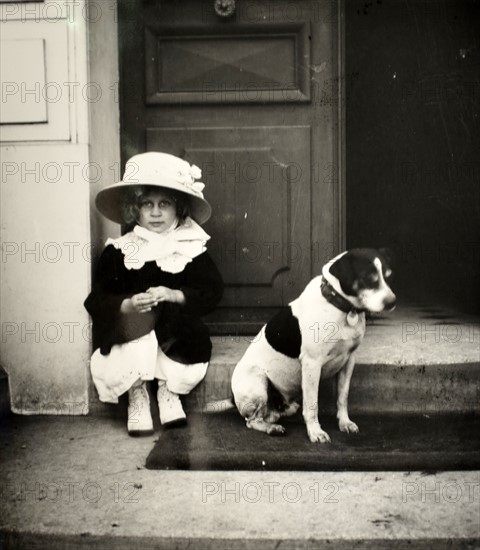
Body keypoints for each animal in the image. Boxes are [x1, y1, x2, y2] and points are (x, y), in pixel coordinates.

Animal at [231, 249, 396, 444]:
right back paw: (272, 428)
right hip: (257, 382)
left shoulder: (349, 361)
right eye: (368, 278)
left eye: (389, 276)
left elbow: (343, 397)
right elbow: (312, 405)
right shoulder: (312, 364)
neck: (340, 307)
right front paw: (315, 432)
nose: (393, 302)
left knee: (272, 414)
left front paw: (345, 423)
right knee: (252, 421)